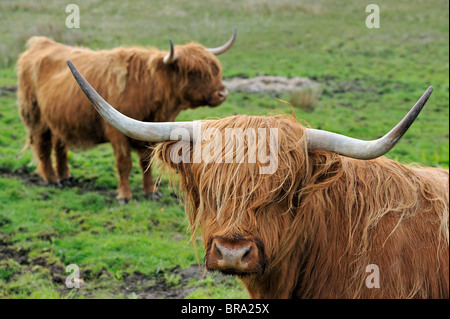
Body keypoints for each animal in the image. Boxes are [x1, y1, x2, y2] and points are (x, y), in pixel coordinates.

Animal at [16, 30, 236, 205]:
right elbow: (124, 164)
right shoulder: (118, 135)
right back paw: (52, 180)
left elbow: (146, 163)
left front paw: (151, 192)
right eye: (192, 72)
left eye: (214, 68)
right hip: (36, 118)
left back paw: (65, 177)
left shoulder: (148, 133)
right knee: (43, 146)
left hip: (59, 120)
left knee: (59, 146)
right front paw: (124, 195)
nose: (222, 93)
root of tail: (41, 43)